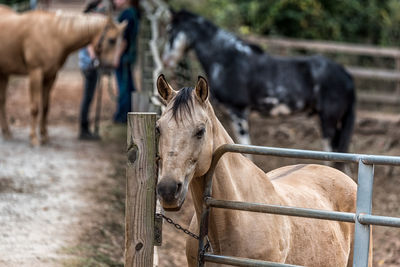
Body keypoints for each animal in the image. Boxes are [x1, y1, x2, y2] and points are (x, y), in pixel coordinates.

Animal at [0, 5, 126, 146]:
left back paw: (7, 132)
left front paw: (45, 136)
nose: (110, 69)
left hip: (4, 73)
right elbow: (35, 107)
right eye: (112, 40)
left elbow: (45, 107)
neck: (55, 35)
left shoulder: (51, 76)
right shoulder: (35, 74)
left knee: (2, 101)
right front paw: (34, 138)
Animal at [162, 9, 356, 157]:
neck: (227, 59)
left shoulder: (238, 111)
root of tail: (346, 74)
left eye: (170, 30)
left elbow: (244, 148)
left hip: (328, 122)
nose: (166, 61)